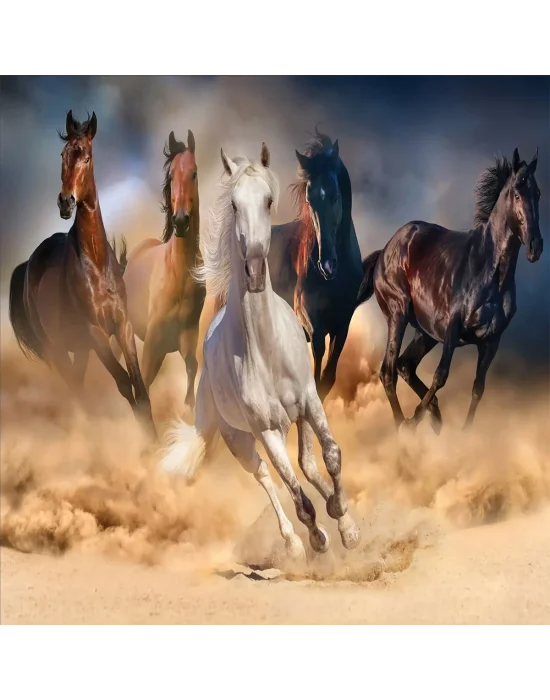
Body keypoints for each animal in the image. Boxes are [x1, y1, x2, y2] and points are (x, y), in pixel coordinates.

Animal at [8, 111, 156, 440]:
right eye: (62, 155)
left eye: (86, 156)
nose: (66, 202)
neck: (97, 264)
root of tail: (28, 265)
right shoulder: (96, 333)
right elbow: (124, 384)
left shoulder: (123, 327)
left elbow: (139, 388)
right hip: (57, 349)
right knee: (76, 390)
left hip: (79, 350)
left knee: (78, 385)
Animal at [116, 130, 205, 409]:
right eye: (171, 175)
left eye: (194, 173)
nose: (180, 220)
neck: (179, 273)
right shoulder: (153, 343)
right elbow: (142, 387)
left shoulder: (187, 337)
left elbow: (192, 372)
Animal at [160, 144, 360, 560]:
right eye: (234, 205)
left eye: (268, 201)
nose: (253, 271)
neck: (267, 351)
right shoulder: (266, 429)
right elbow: (297, 496)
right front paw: (318, 538)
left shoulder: (310, 400)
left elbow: (331, 456)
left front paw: (347, 525)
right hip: (240, 438)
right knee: (266, 477)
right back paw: (295, 541)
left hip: (295, 419)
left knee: (307, 463)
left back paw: (335, 511)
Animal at [357, 148, 543, 432]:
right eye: (517, 194)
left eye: (539, 193)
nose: (536, 246)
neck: (490, 272)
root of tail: (385, 250)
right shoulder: (453, 330)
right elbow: (440, 376)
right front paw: (414, 420)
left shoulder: (491, 341)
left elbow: (478, 387)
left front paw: (463, 434)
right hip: (398, 315)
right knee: (388, 371)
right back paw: (403, 426)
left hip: (426, 332)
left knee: (405, 365)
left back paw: (434, 417)